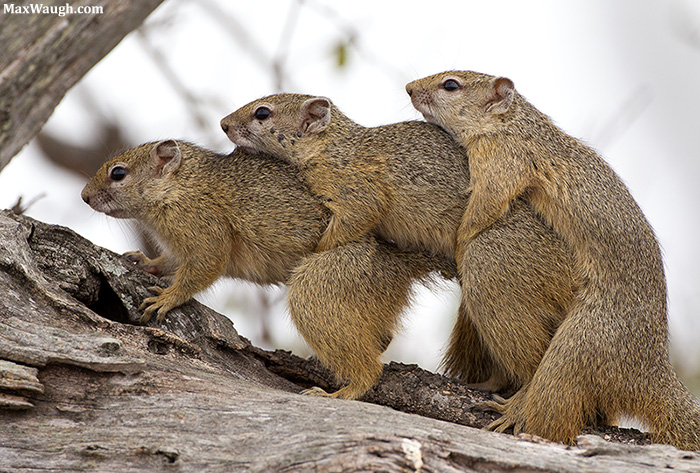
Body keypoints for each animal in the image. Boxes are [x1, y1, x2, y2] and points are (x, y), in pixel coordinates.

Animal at [81, 139, 454, 399]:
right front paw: (144, 262)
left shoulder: (203, 224)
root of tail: (400, 262)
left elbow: (204, 266)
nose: (84, 196)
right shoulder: (179, 242)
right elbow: (171, 261)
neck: (182, 186)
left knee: (369, 368)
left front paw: (168, 298)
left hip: (324, 284)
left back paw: (342, 392)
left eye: (119, 173)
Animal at [221, 95, 576, 395]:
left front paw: (315, 253)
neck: (331, 147)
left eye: (263, 112)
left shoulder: (358, 191)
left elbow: (345, 228)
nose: (224, 124)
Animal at [406, 70, 700, 450]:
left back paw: (514, 410)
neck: (513, 124)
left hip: (578, 349)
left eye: (451, 85)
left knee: (550, 412)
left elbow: (480, 215)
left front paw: (458, 248)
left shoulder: (503, 163)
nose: (410, 89)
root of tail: (650, 369)